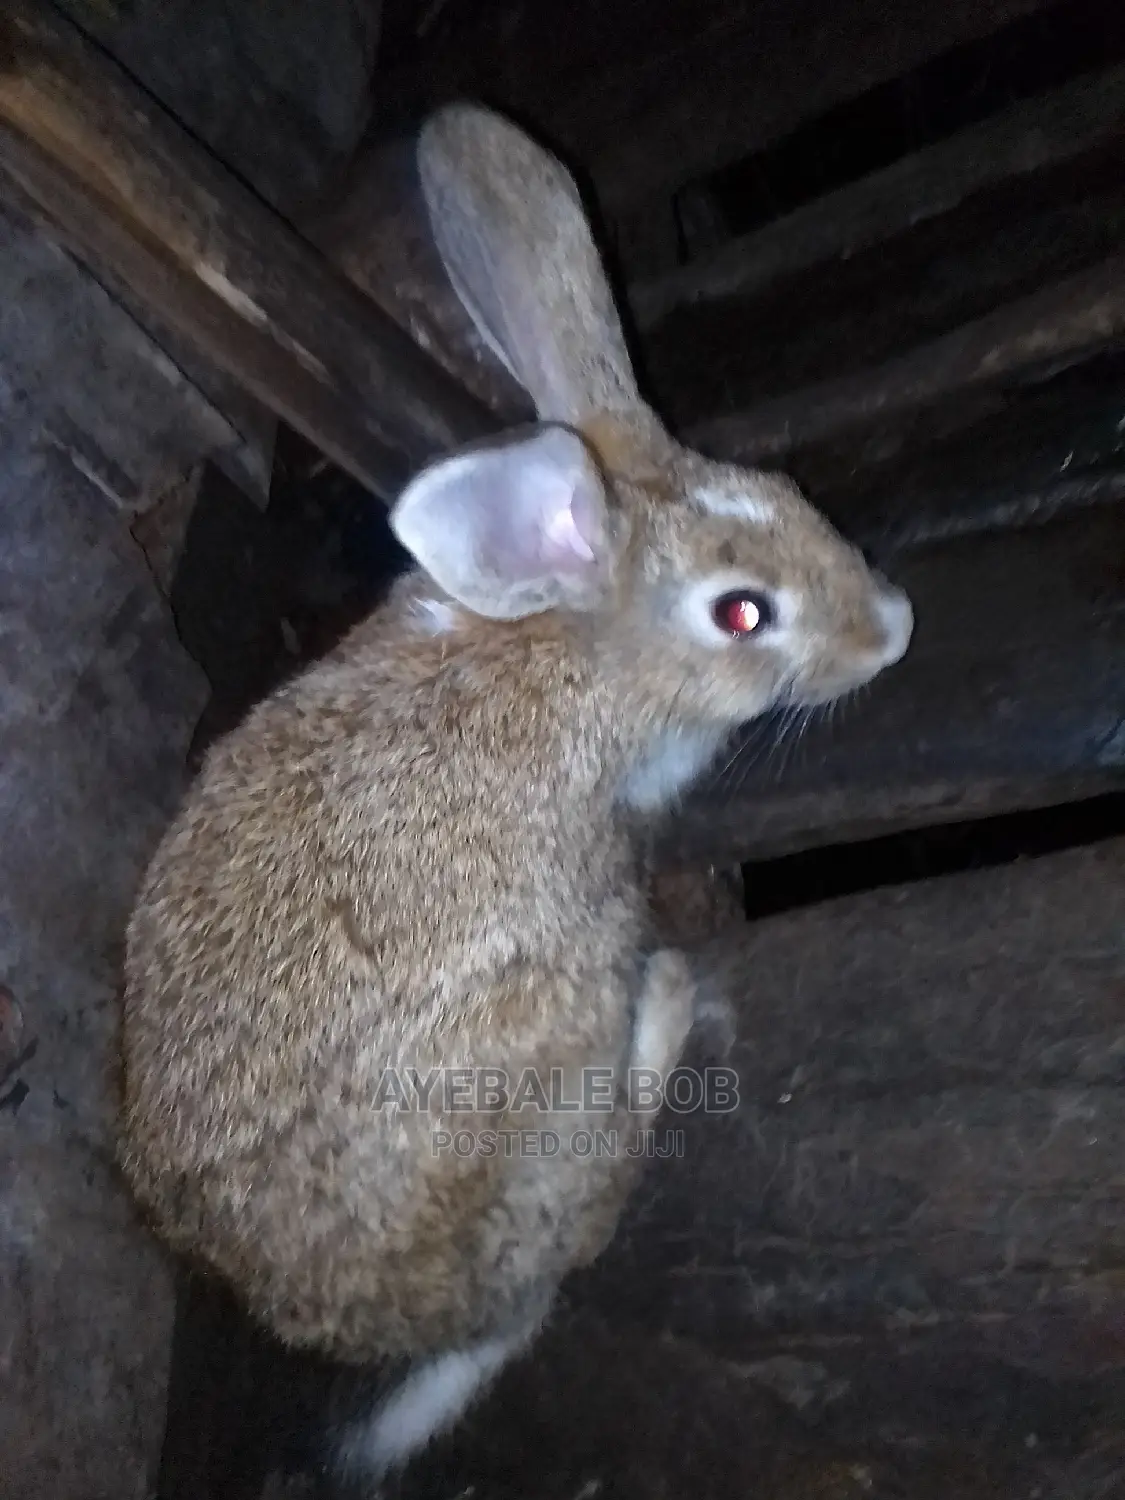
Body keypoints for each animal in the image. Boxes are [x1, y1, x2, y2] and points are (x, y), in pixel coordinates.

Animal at [117, 102, 913, 1483]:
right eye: (743, 614)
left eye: (789, 496)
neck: (574, 644)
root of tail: (460, 1311)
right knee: (592, 1200)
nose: (892, 628)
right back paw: (666, 1000)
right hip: (550, 1043)